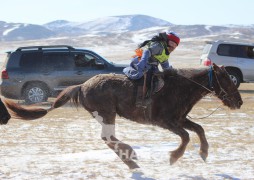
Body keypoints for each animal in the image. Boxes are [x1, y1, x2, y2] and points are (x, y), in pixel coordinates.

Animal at [3, 63, 242, 169]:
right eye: (227, 79)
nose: (238, 102)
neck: (181, 88)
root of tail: (82, 86)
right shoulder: (167, 122)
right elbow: (185, 136)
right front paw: (174, 157)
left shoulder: (180, 119)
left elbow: (199, 129)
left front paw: (204, 153)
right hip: (107, 114)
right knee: (107, 138)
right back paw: (131, 158)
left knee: (108, 139)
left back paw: (130, 159)